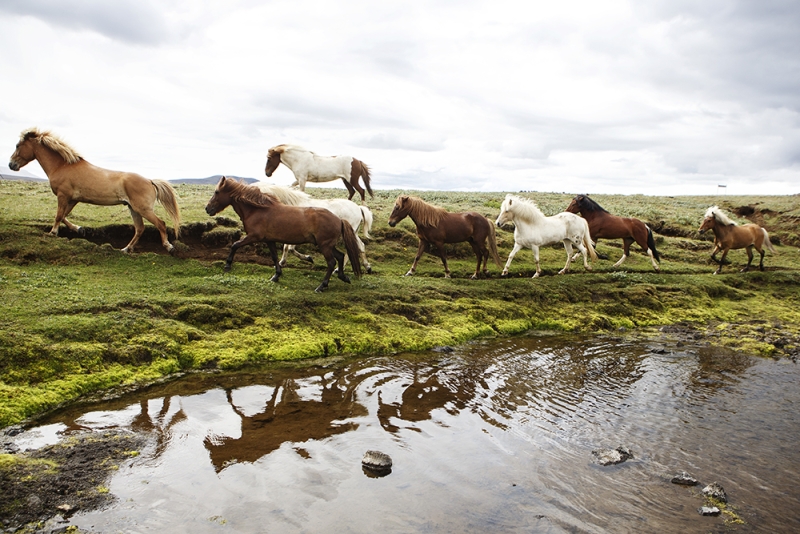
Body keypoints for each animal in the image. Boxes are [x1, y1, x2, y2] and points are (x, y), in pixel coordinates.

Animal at [6, 127, 181, 253]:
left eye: (17, 145)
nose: (11, 165)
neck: (62, 166)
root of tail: (150, 181)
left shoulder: (63, 196)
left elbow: (58, 216)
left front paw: (52, 233)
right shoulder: (73, 199)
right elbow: (64, 216)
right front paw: (79, 229)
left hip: (143, 209)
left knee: (160, 223)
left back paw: (169, 247)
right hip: (133, 208)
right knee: (140, 229)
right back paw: (126, 249)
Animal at [203, 176, 362, 294]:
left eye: (217, 192)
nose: (207, 209)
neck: (257, 210)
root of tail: (339, 219)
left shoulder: (254, 236)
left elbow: (235, 245)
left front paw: (227, 265)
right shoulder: (269, 240)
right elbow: (274, 257)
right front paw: (276, 276)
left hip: (325, 246)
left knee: (331, 262)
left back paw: (322, 286)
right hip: (327, 245)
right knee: (340, 256)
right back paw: (343, 277)